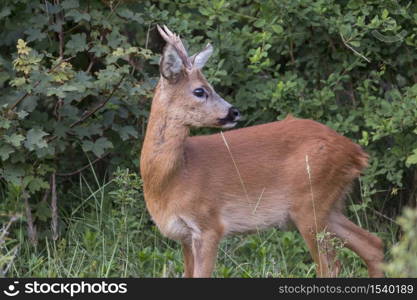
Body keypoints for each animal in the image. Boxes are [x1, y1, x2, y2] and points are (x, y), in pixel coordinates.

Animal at [140, 24, 384, 278]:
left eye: (211, 87)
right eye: (199, 91)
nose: (234, 112)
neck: (174, 177)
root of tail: (356, 153)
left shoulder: (210, 225)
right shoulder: (185, 236)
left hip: (311, 203)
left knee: (332, 265)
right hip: (328, 207)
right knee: (372, 244)